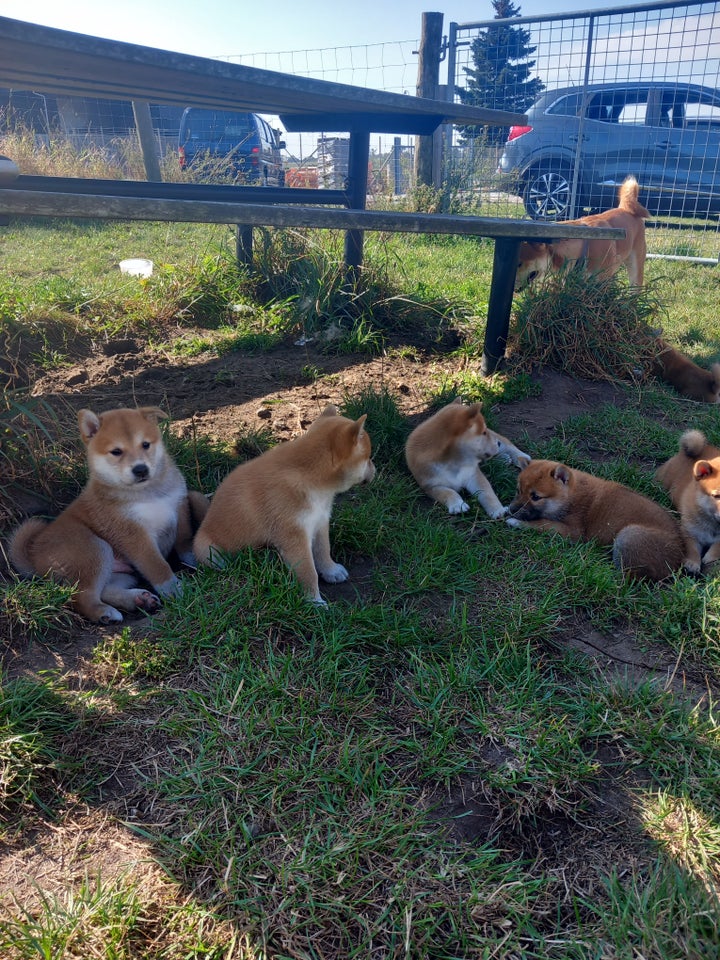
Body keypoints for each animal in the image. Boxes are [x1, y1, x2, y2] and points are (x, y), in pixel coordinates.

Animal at [9, 404, 208, 624]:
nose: (140, 469)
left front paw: (197, 560)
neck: (148, 493)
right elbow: (157, 565)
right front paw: (174, 590)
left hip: (122, 572)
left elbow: (185, 540)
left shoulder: (179, 508)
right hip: (95, 549)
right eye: (116, 452)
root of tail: (33, 554)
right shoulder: (134, 536)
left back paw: (138, 599)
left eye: (145, 444)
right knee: (81, 597)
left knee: (105, 590)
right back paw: (104, 612)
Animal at [194, 406, 374, 604]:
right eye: (368, 458)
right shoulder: (294, 536)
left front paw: (331, 570)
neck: (309, 476)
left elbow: (323, 550)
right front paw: (314, 602)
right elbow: (308, 572)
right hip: (209, 550)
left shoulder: (320, 521)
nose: (375, 470)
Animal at [506, 460, 688, 584]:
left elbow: (542, 523)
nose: (512, 509)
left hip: (629, 535)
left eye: (535, 497)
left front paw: (515, 522)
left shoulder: (573, 531)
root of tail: (678, 560)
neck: (571, 495)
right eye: (518, 490)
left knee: (629, 579)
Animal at [656, 432, 720, 572]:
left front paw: (710, 558)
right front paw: (692, 563)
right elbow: (691, 548)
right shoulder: (689, 531)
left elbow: (718, 546)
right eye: (717, 495)